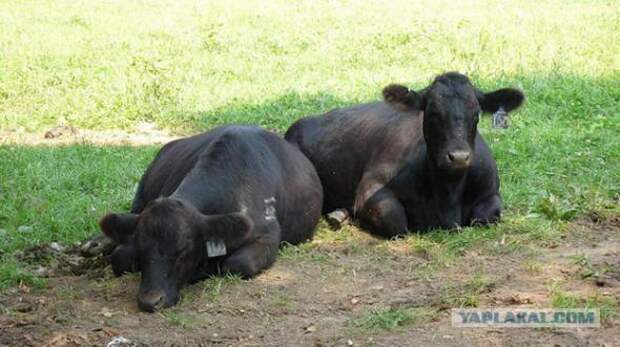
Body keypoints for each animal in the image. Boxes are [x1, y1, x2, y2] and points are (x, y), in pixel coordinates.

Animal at [99, 125, 322, 312]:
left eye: (183, 250)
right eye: (141, 247)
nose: (150, 301)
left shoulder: (267, 237)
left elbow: (237, 264)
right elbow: (119, 256)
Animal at [284, 72, 524, 238]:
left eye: (476, 114)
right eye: (433, 112)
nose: (459, 157)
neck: (448, 195)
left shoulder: (491, 192)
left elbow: (484, 217)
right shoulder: (371, 186)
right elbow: (396, 222)